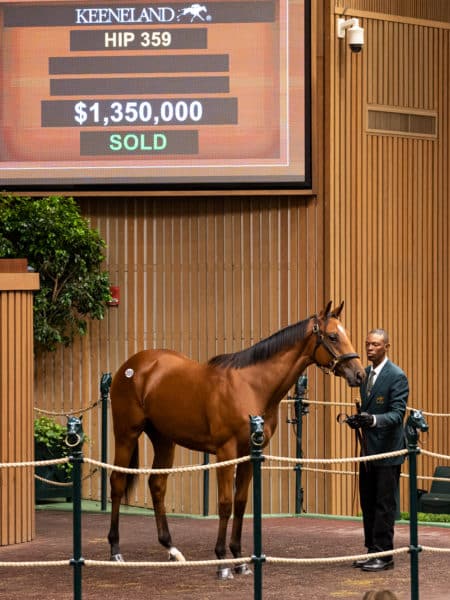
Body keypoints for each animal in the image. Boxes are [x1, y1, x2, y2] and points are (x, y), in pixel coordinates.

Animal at [107, 300, 364, 576]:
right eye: (333, 336)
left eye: (346, 334)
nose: (359, 374)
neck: (251, 386)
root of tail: (133, 366)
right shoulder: (225, 451)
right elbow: (225, 503)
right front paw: (222, 561)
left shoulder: (249, 453)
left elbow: (240, 503)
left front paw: (239, 559)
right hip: (126, 434)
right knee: (117, 482)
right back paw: (115, 550)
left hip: (164, 440)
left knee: (157, 485)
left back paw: (171, 549)